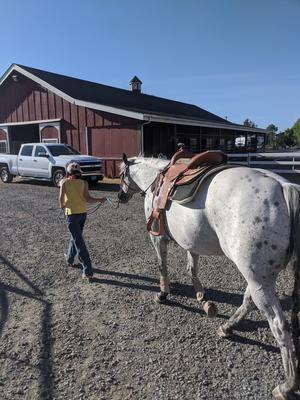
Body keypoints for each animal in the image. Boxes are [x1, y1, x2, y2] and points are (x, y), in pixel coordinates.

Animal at [118, 154, 300, 400]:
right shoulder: (191, 242)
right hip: (258, 278)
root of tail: (284, 187)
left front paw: (163, 293)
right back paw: (227, 327)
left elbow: (162, 265)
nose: (120, 196)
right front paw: (203, 299)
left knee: (279, 326)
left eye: (121, 174)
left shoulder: (157, 237)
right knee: (248, 302)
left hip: (259, 280)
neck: (155, 180)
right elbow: (192, 269)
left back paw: (287, 386)